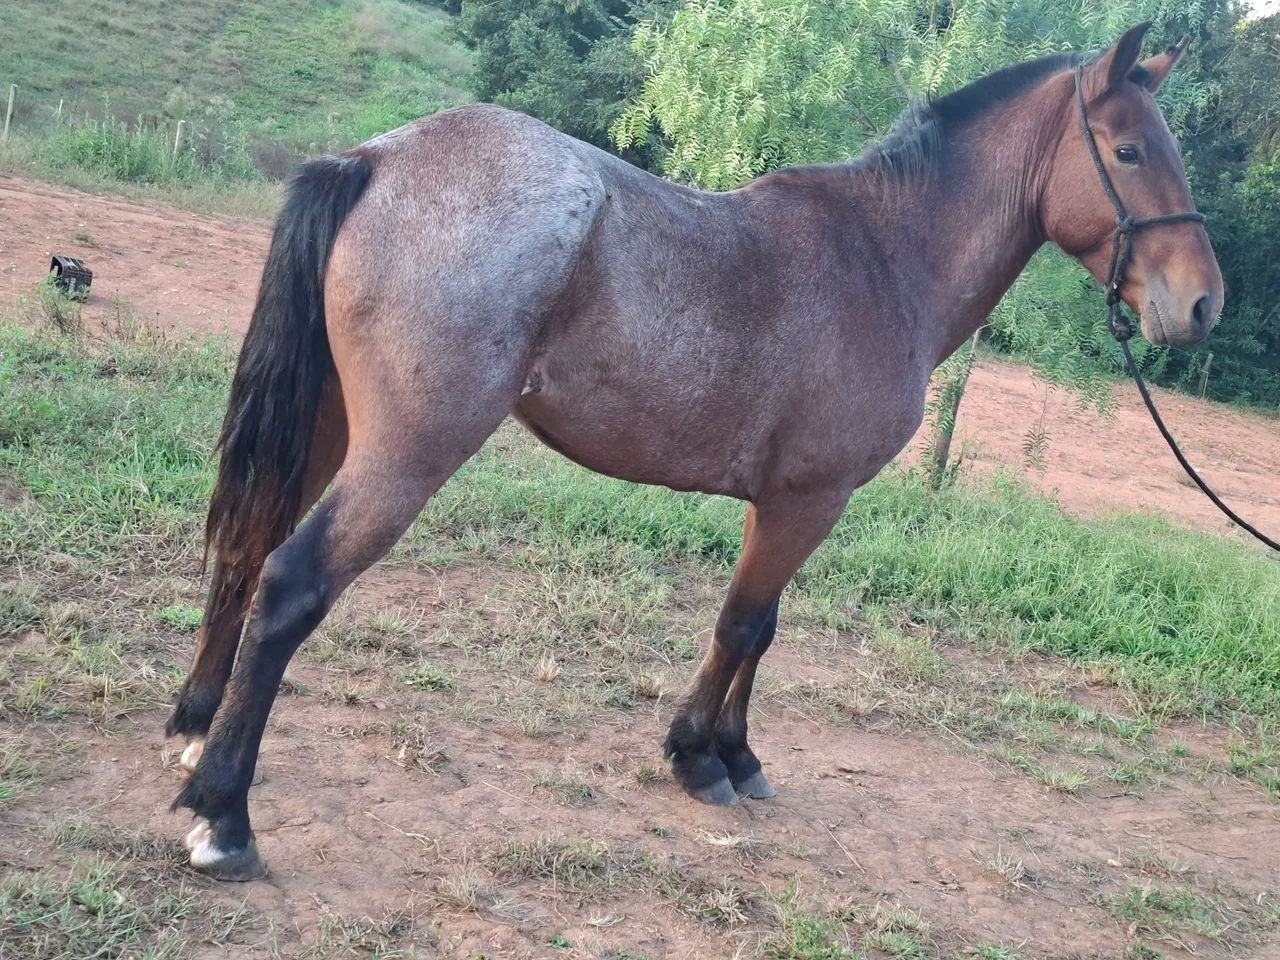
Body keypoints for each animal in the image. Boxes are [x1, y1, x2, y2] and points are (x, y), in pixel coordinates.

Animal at [166, 22, 1222, 879]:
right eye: (1129, 150)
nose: (1204, 303)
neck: (884, 258)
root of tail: (379, 158)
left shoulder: (794, 502)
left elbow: (763, 628)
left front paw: (736, 754)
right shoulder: (807, 500)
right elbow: (743, 625)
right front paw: (700, 757)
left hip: (330, 425)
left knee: (248, 549)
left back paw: (193, 727)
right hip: (408, 454)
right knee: (291, 585)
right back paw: (224, 816)